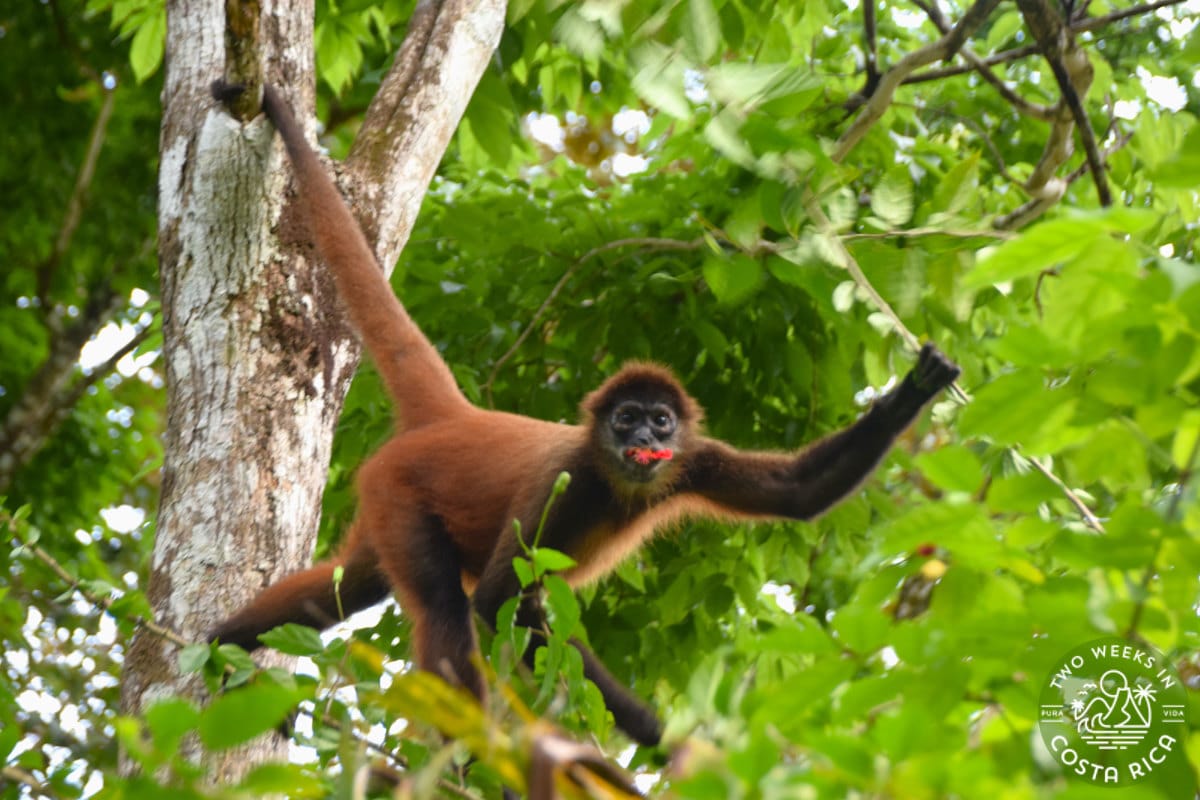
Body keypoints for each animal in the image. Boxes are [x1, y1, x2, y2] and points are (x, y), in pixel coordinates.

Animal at [208, 82, 961, 748]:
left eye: (660, 422)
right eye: (624, 420)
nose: (643, 439)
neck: (619, 483)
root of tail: (456, 418)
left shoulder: (693, 459)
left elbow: (798, 493)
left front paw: (914, 390)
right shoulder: (568, 480)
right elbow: (496, 603)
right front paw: (659, 736)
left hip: (382, 501)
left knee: (348, 587)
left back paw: (220, 644)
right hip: (400, 491)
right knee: (443, 604)